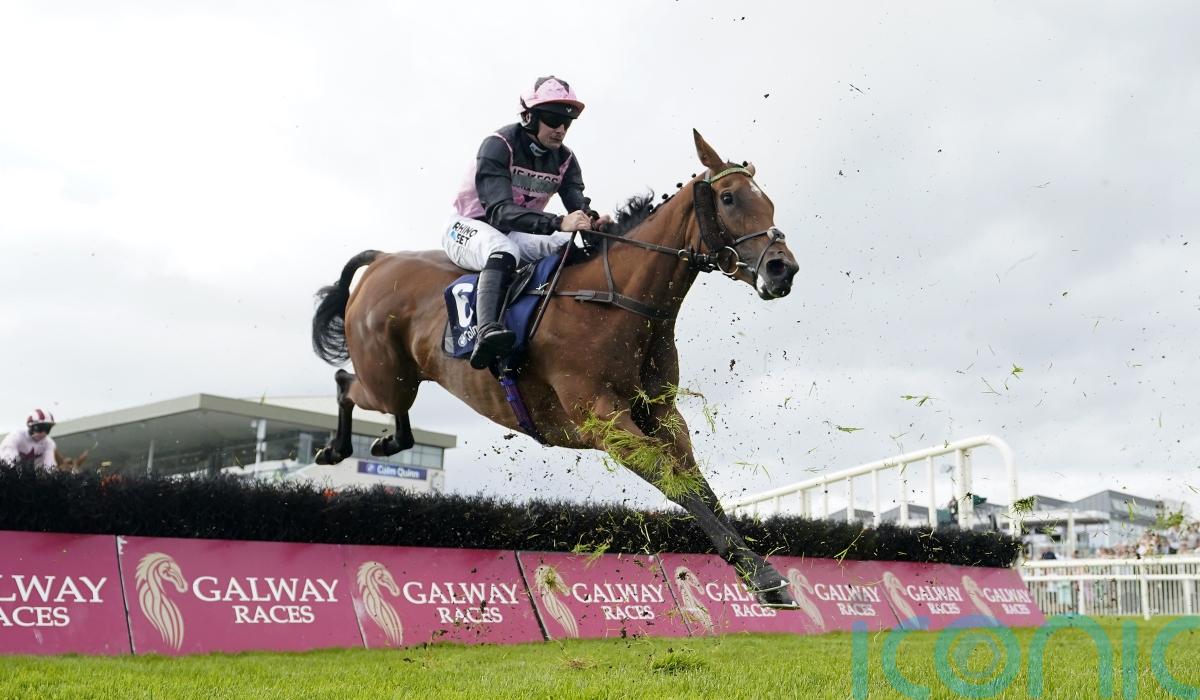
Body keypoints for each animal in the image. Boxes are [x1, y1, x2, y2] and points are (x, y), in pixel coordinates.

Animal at [311, 130, 802, 607]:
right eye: (729, 198)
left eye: (770, 202)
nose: (783, 269)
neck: (616, 302)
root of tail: (382, 260)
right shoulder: (605, 421)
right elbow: (676, 483)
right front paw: (760, 575)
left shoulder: (662, 414)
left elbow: (698, 485)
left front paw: (761, 572)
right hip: (387, 378)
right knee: (346, 383)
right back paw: (335, 449)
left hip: (398, 379)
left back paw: (387, 441)